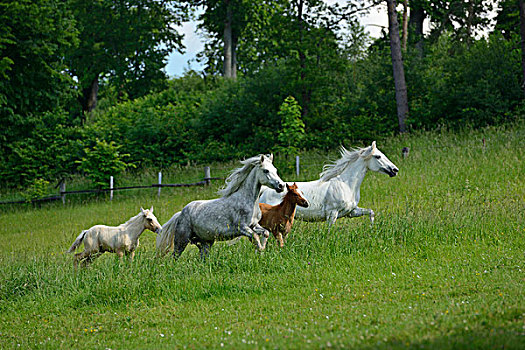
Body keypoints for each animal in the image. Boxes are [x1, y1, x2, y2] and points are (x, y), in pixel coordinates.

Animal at [260, 142, 400, 226]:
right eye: (378, 156)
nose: (395, 170)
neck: (347, 185)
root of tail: (264, 190)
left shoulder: (351, 212)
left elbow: (371, 212)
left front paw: (371, 227)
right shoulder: (332, 214)